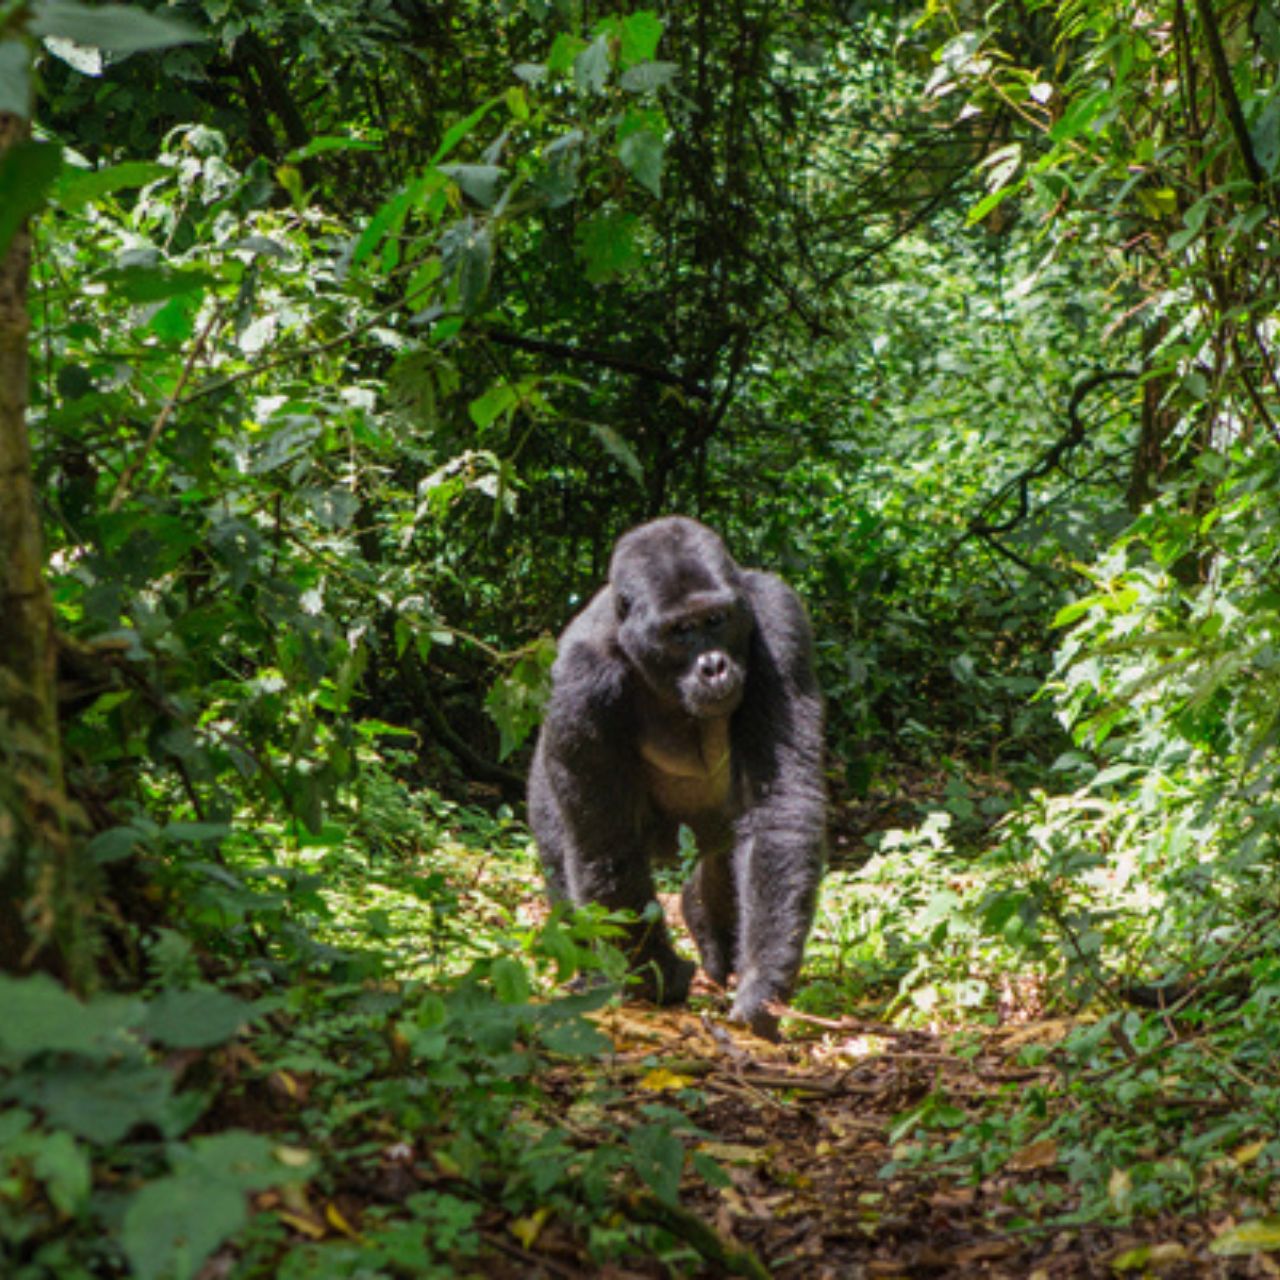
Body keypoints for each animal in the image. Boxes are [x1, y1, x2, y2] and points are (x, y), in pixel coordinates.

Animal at [524, 514, 824, 1034]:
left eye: (716, 620)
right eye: (680, 631)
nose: (714, 667)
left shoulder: (778, 618)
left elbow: (778, 807)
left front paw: (762, 981)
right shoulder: (579, 682)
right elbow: (607, 847)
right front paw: (657, 976)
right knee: (563, 850)